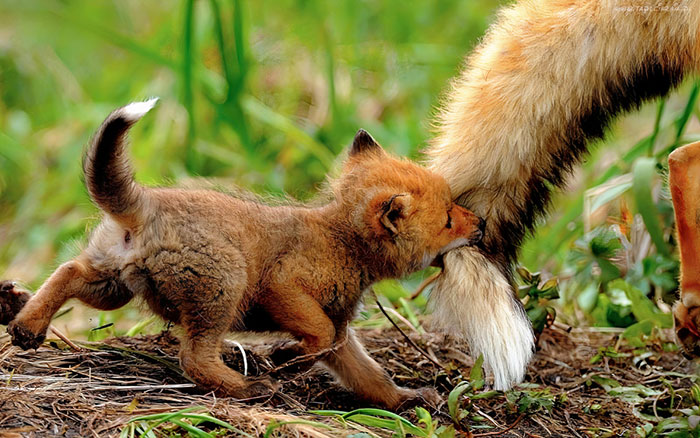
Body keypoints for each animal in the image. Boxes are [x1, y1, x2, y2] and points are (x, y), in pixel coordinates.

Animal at [3, 99, 484, 409]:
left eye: (453, 206)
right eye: (448, 219)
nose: (481, 224)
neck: (341, 241)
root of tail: (145, 202)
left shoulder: (342, 330)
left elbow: (369, 376)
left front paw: (405, 399)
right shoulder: (284, 287)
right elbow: (317, 335)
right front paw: (285, 360)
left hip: (112, 285)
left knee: (67, 269)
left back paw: (26, 324)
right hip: (224, 286)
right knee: (193, 358)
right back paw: (247, 389)